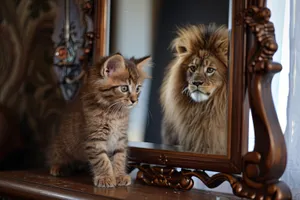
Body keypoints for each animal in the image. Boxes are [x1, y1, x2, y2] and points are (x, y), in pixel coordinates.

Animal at [47, 53, 151, 188]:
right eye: (124, 88)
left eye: (138, 89)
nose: (134, 100)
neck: (114, 113)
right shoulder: (94, 138)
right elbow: (102, 160)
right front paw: (106, 177)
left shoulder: (121, 137)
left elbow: (120, 157)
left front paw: (119, 175)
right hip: (61, 143)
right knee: (56, 155)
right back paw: (58, 166)